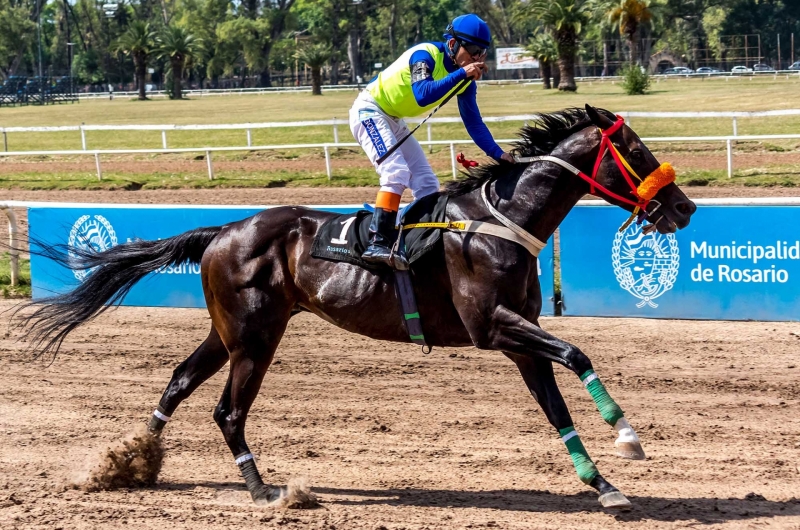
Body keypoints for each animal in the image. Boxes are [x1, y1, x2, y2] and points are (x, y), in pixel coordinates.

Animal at [17, 104, 692, 508]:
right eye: (636, 151)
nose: (683, 208)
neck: (499, 223)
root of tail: (225, 229)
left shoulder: (519, 336)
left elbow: (556, 408)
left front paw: (604, 485)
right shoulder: (492, 327)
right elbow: (577, 352)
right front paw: (627, 436)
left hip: (231, 331)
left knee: (181, 381)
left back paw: (126, 461)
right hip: (254, 338)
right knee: (227, 410)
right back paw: (265, 492)